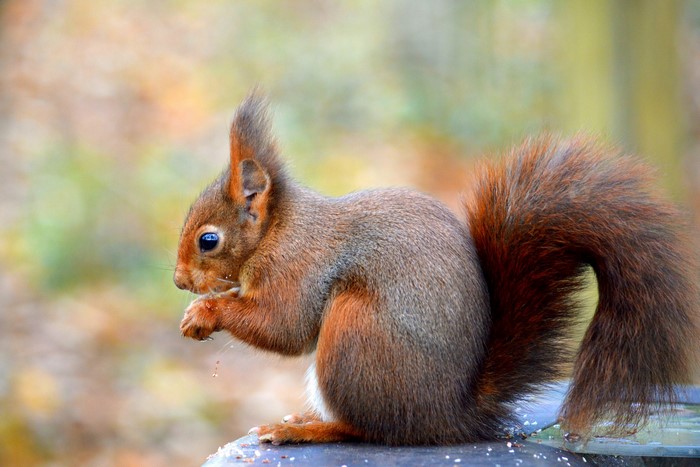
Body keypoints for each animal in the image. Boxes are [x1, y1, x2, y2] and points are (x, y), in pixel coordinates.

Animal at [174, 92, 698, 446]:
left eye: (208, 240)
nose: (179, 282)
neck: (277, 231)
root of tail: (448, 415)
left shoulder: (298, 267)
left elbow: (284, 326)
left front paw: (205, 313)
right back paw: (304, 420)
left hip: (355, 332)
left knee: (366, 427)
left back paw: (306, 430)